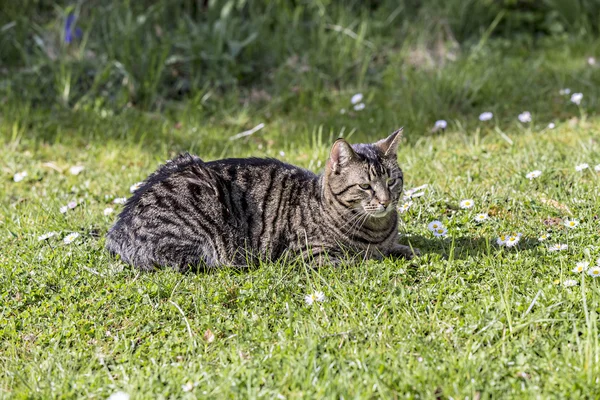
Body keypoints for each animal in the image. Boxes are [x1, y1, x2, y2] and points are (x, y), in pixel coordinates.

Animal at [105, 129, 420, 272]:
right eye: (365, 186)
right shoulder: (309, 254)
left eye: (392, 181)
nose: (385, 201)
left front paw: (407, 252)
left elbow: (404, 249)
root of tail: (116, 231)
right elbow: (358, 261)